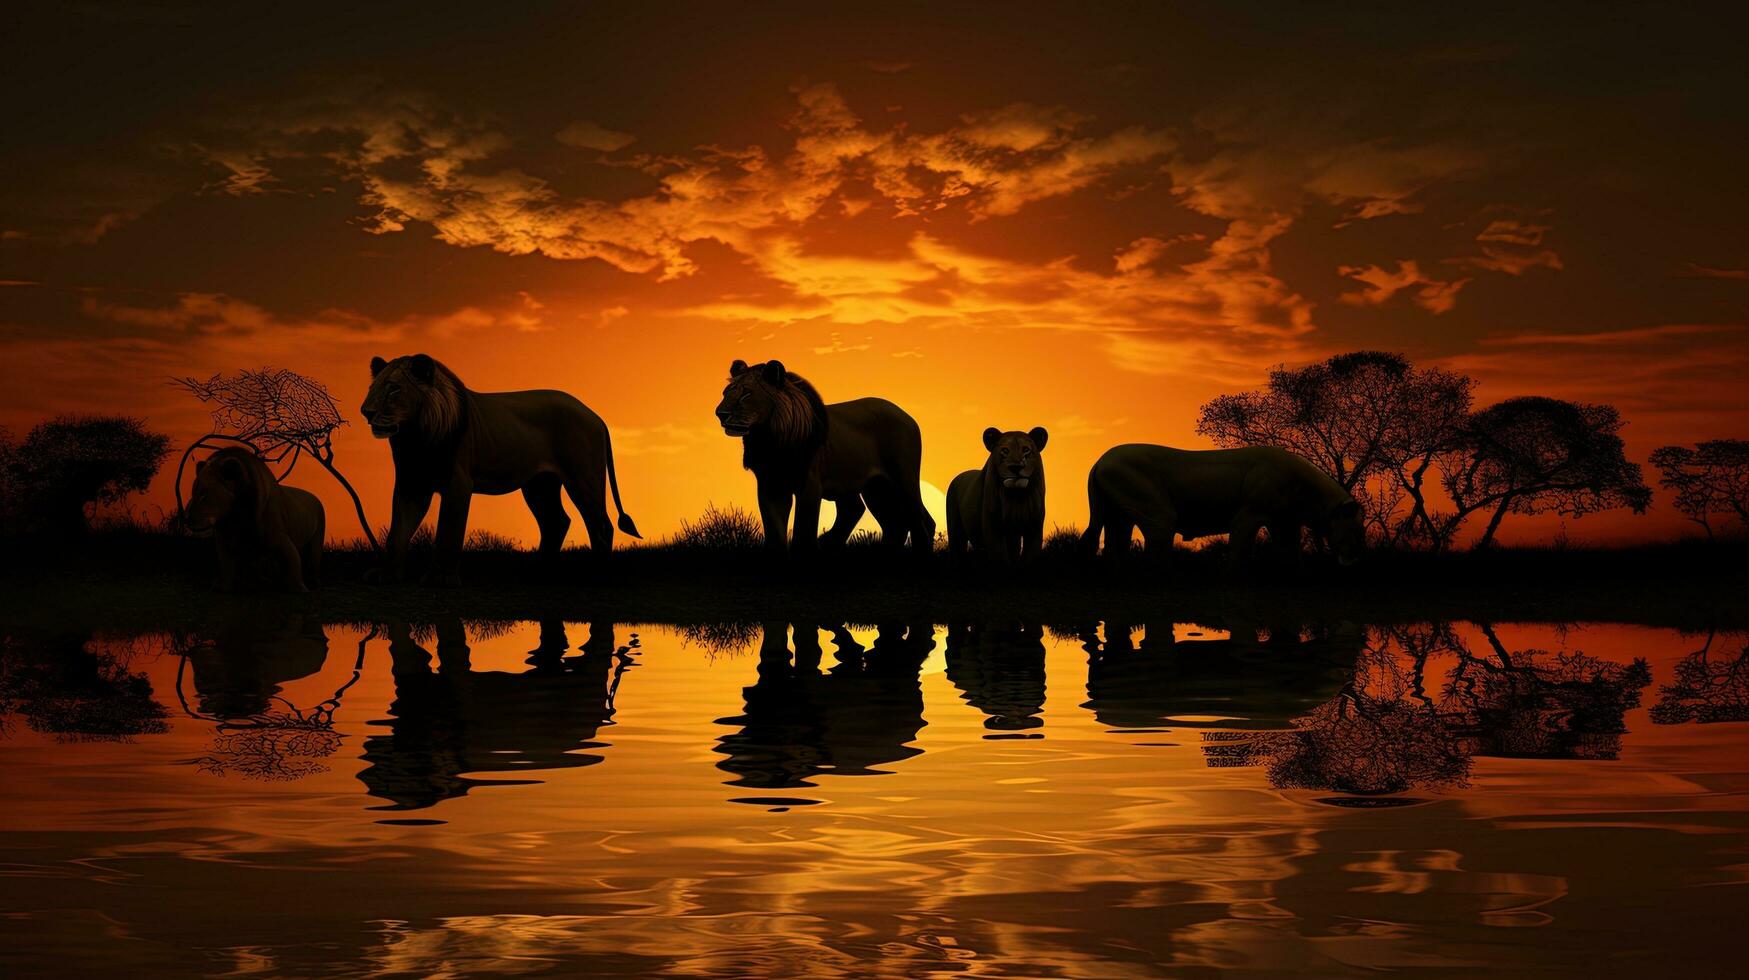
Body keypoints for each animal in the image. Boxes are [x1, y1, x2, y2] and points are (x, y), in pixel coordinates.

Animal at [186, 448, 328, 595]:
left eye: (204, 494)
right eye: (194, 492)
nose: (187, 519)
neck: (236, 516)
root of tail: (315, 497)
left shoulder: (280, 537)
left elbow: (293, 562)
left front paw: (300, 589)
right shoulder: (224, 540)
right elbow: (225, 565)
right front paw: (222, 587)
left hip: (316, 542)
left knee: (313, 564)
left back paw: (313, 584)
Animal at [358, 351, 640, 581]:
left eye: (394, 389)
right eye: (373, 387)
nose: (366, 412)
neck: (413, 437)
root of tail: (595, 415)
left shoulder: (457, 484)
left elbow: (448, 531)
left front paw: (440, 578)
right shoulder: (411, 484)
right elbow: (397, 532)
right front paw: (387, 575)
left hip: (582, 479)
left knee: (600, 524)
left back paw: (598, 572)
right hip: (539, 485)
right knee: (556, 521)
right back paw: (539, 571)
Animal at [713, 360, 937, 560]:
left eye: (746, 394)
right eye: (725, 393)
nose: (720, 414)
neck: (767, 439)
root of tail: (907, 416)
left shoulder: (809, 483)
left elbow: (804, 527)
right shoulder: (770, 485)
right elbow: (774, 527)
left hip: (902, 481)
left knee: (920, 521)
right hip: (876, 489)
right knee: (890, 523)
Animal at [1077, 442, 1364, 567]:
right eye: (1355, 529)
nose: (1355, 557)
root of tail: (1099, 462)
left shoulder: (1284, 523)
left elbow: (1291, 554)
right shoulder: (1249, 515)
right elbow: (1239, 553)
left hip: (1117, 515)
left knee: (1111, 547)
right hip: (1157, 515)